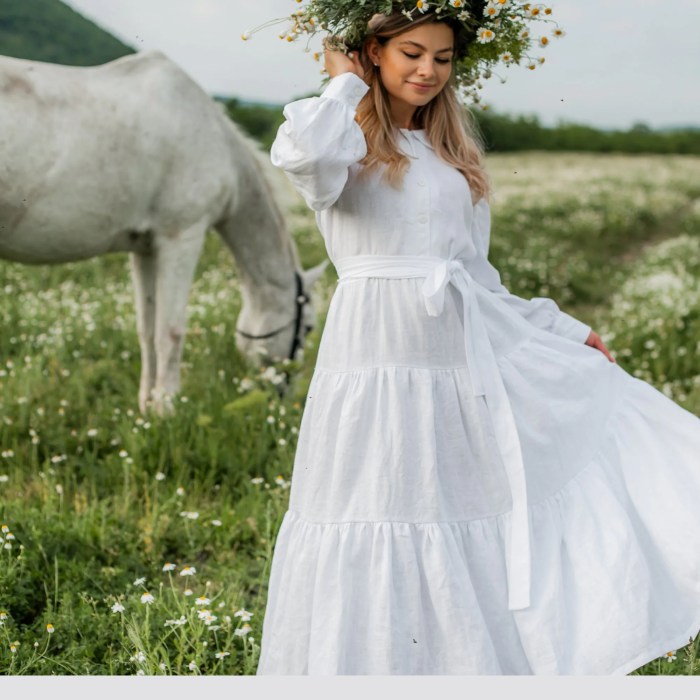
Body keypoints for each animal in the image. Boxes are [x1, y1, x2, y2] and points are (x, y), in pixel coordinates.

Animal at [0, 52, 326, 418]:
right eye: (308, 327)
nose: (286, 394)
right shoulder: (181, 238)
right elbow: (170, 331)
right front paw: (169, 408)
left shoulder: (144, 249)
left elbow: (147, 330)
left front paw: (148, 407)